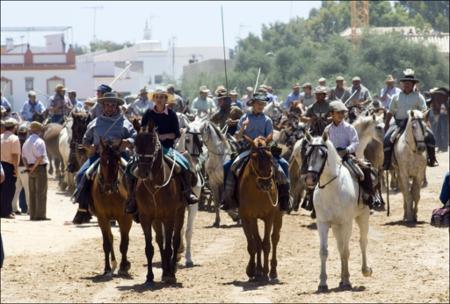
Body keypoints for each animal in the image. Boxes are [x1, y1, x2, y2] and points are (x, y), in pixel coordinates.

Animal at [91, 140, 132, 278]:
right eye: (103, 161)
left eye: (117, 162)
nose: (108, 187)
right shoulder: (102, 218)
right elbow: (107, 244)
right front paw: (107, 269)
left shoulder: (125, 218)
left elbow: (124, 244)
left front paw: (124, 267)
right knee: (111, 237)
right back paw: (113, 264)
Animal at [134, 120, 185, 286]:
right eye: (135, 144)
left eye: (152, 144)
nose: (143, 172)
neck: (154, 186)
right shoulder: (146, 218)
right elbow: (150, 248)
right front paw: (149, 276)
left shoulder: (169, 217)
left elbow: (169, 245)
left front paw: (170, 275)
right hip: (156, 219)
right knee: (160, 241)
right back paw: (164, 270)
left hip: (180, 213)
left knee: (175, 240)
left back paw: (171, 270)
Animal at [239, 137, 282, 282]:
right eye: (254, 157)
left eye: (270, 156)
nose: (266, 183)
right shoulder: (249, 217)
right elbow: (254, 244)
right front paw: (253, 270)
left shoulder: (269, 217)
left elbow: (266, 244)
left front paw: (266, 271)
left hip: (278, 217)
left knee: (275, 239)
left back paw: (273, 271)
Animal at [302, 132, 372, 290]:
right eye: (307, 153)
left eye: (322, 154)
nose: (310, 179)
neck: (332, 190)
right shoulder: (322, 223)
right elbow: (324, 251)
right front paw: (323, 282)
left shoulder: (347, 223)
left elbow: (346, 252)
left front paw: (347, 280)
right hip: (335, 226)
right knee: (340, 247)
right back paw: (340, 279)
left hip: (362, 216)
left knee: (362, 242)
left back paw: (365, 270)